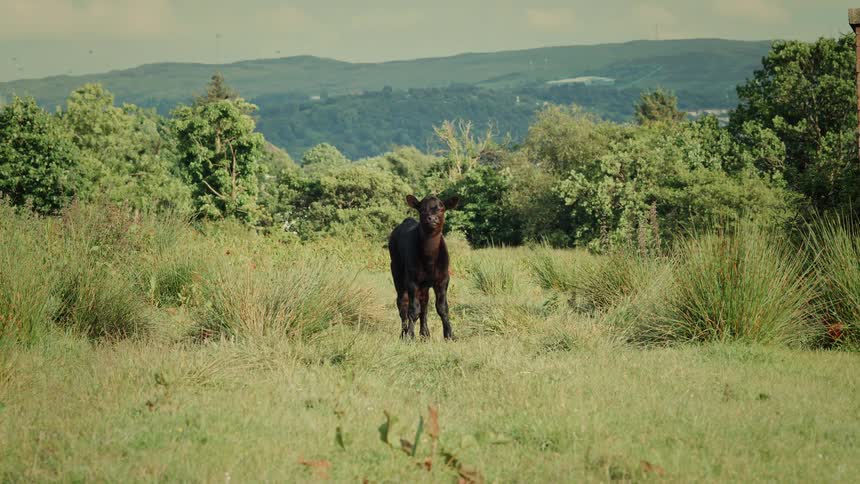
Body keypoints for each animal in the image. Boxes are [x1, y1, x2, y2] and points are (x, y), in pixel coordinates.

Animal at [388, 194, 460, 340]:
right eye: (422, 209)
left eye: (442, 208)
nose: (432, 218)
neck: (429, 260)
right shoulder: (412, 281)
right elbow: (414, 310)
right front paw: (410, 335)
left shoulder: (443, 279)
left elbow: (442, 308)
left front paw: (449, 335)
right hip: (397, 272)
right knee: (402, 303)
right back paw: (403, 333)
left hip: (424, 285)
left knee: (424, 304)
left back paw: (425, 333)